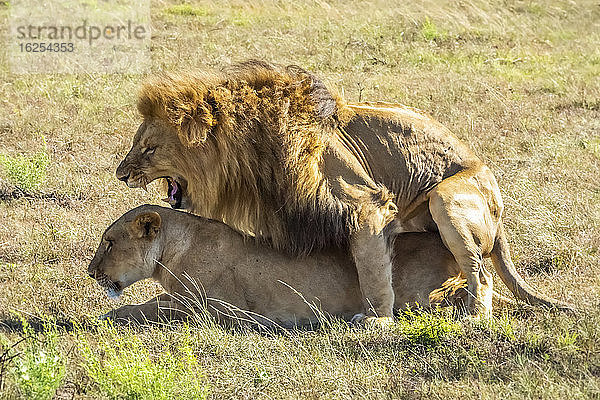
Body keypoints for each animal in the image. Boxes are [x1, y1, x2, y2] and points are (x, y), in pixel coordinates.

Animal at [88, 205, 474, 326]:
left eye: (109, 242)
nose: (90, 272)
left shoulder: (213, 310)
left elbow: (146, 309)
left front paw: (102, 318)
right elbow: (146, 304)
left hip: (418, 297)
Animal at [115, 60, 568, 322]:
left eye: (149, 148)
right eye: (138, 143)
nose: (120, 174)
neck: (253, 152)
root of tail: (500, 211)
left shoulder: (368, 206)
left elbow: (372, 272)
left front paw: (378, 321)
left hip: (446, 199)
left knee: (481, 273)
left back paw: (475, 318)